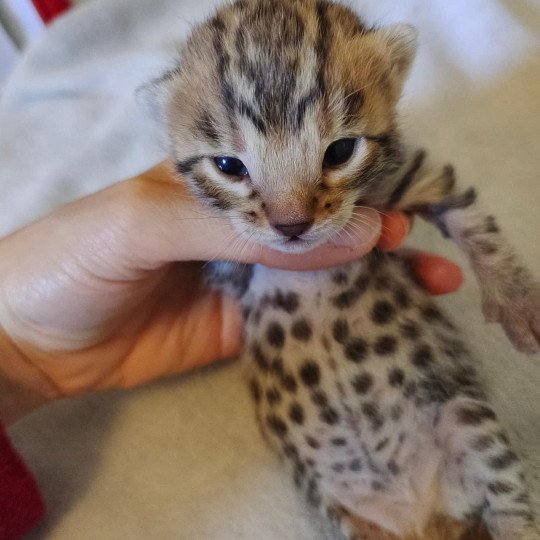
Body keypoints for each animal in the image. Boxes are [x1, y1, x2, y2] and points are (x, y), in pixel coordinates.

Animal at [143, 1, 540, 540]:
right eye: (229, 165)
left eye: (340, 151)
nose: (291, 224)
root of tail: (422, 518)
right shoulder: (228, 268)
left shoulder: (410, 175)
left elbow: (470, 216)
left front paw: (518, 299)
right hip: (338, 507)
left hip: (464, 418)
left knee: (508, 502)